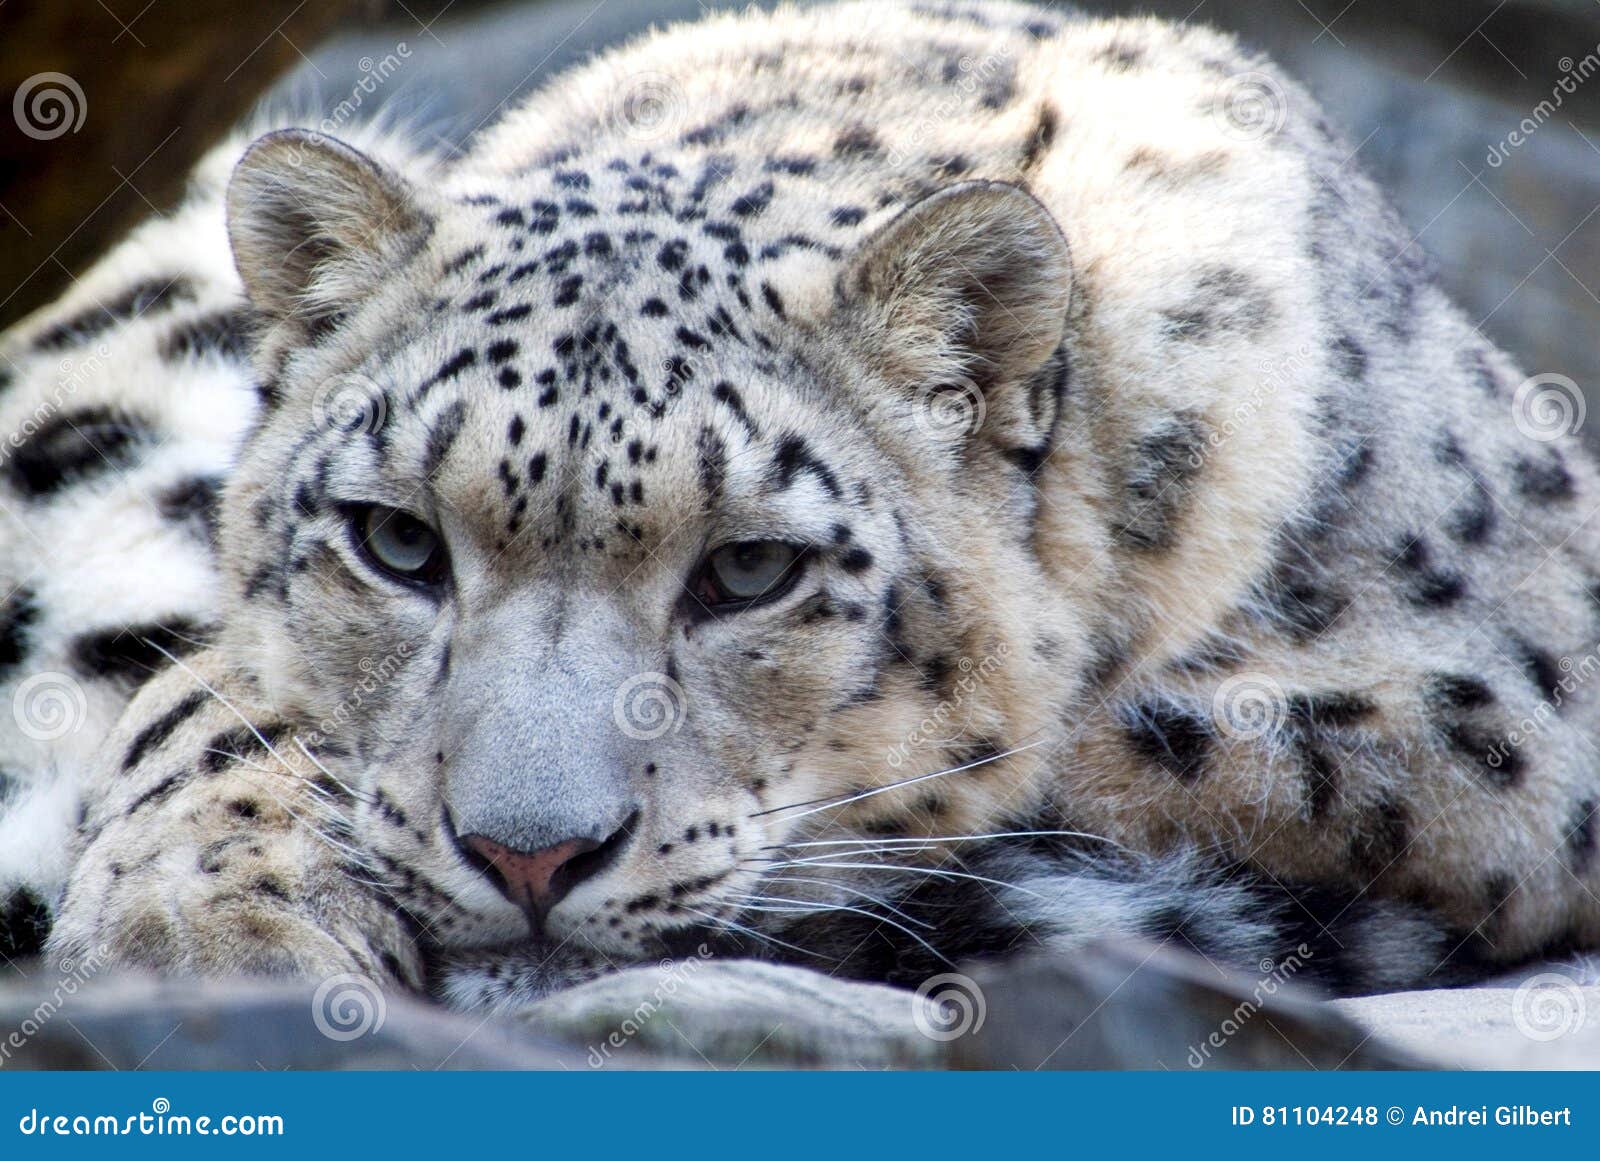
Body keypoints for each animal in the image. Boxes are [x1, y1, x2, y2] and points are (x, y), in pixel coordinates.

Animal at [5, 0, 1599, 1021]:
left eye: (750, 572)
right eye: (398, 541)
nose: (531, 856)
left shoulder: (1478, 715)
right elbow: (218, 687)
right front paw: (203, 923)